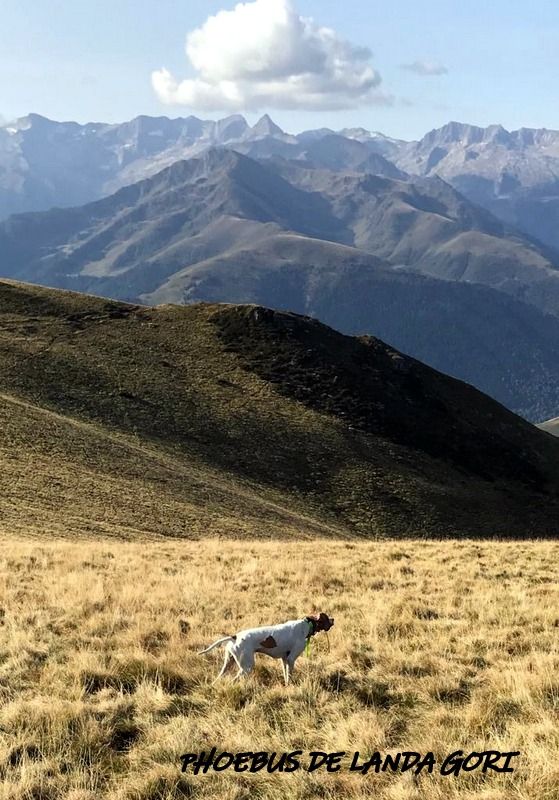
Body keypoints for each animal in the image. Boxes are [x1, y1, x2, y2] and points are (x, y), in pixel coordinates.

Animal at [199, 608, 334, 684]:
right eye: (327, 617)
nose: (333, 619)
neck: (306, 625)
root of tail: (234, 636)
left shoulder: (284, 659)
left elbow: (286, 675)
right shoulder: (291, 659)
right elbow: (290, 675)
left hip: (228, 664)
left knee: (219, 678)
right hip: (247, 667)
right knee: (234, 680)